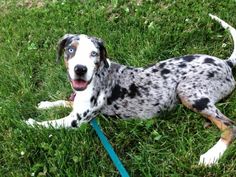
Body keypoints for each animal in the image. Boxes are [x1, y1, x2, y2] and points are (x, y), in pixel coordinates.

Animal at [26, 14, 236, 166]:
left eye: (94, 53)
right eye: (71, 50)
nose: (80, 69)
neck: (97, 76)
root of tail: (225, 63)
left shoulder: (75, 121)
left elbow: (48, 124)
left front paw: (29, 123)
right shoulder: (76, 105)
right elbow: (65, 101)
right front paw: (46, 104)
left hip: (187, 91)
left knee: (230, 126)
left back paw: (212, 156)